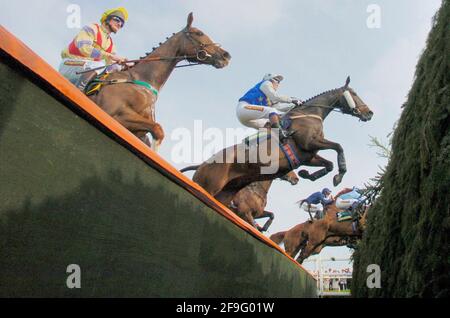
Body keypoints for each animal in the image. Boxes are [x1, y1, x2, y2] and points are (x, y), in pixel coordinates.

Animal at [90, 12, 232, 150]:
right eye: (199, 33)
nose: (226, 55)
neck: (141, 80)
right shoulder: (113, 112)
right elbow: (158, 130)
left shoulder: (137, 131)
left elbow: (154, 134)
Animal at [185, 77, 374, 206]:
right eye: (354, 94)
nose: (369, 113)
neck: (310, 114)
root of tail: (202, 164)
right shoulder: (309, 143)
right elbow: (339, 147)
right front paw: (339, 175)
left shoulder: (307, 155)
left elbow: (328, 164)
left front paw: (307, 174)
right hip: (208, 185)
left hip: (226, 192)